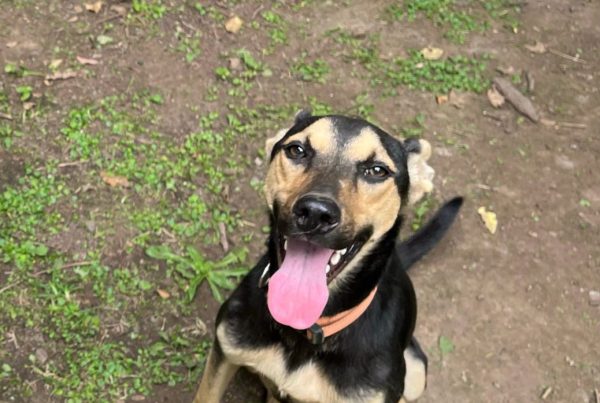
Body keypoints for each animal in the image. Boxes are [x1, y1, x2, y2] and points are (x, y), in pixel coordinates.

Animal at [194, 110, 462, 403]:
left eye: (377, 170)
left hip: (415, 373)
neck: (304, 329)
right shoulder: (225, 350)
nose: (315, 213)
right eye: (296, 150)